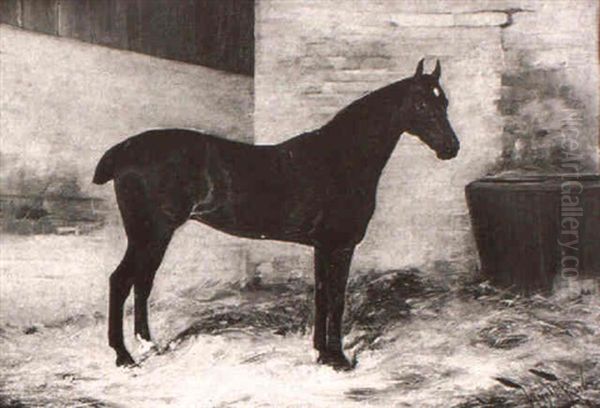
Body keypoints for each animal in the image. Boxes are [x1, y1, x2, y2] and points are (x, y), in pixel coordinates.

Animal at [92, 59, 460, 370]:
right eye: (421, 104)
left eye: (444, 103)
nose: (451, 148)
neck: (341, 158)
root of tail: (123, 150)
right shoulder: (337, 245)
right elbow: (335, 299)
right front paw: (339, 359)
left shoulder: (323, 247)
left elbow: (323, 297)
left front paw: (321, 354)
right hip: (150, 233)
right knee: (121, 281)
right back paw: (124, 356)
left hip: (154, 236)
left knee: (142, 282)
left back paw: (149, 345)